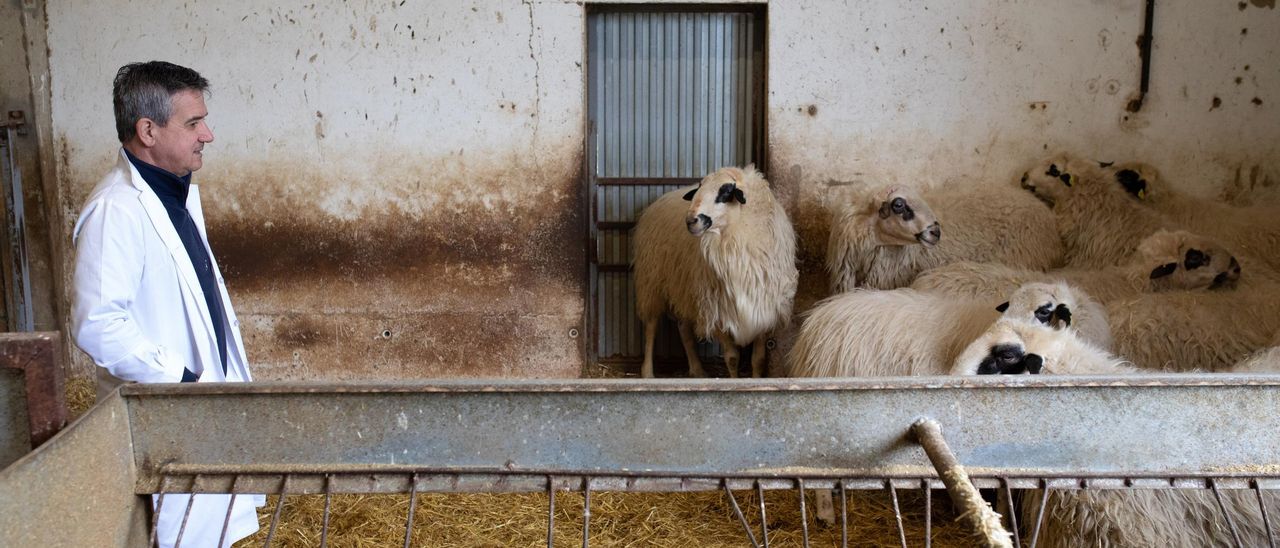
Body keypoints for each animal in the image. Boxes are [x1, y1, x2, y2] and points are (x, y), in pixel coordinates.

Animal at [627, 166, 793, 376]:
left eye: (725, 192)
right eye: (699, 188)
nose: (691, 220)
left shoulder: (764, 311)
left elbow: (758, 360)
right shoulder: (716, 309)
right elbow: (732, 358)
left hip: (683, 286)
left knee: (683, 329)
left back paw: (697, 370)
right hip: (651, 281)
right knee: (651, 327)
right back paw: (648, 372)